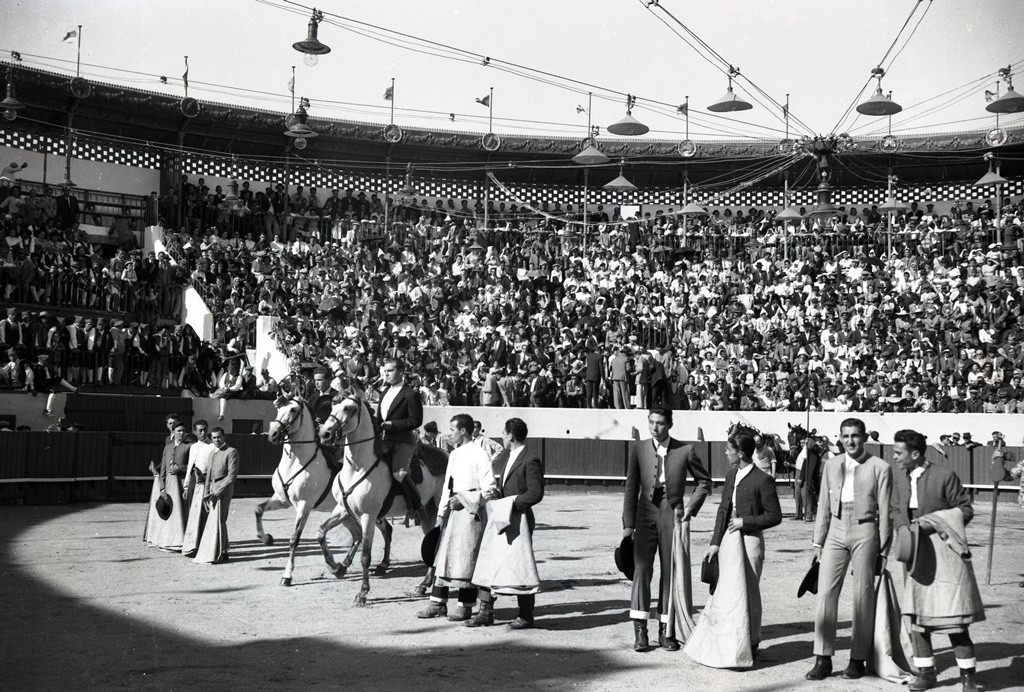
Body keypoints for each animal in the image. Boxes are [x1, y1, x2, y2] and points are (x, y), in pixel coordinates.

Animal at [256, 397, 335, 585]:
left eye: (293, 410)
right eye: (278, 408)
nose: (273, 434)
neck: (295, 462)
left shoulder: (304, 505)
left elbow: (294, 538)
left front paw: (287, 575)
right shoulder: (281, 499)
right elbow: (259, 509)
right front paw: (266, 538)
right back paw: (337, 566)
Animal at [317, 395, 446, 606]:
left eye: (348, 408)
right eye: (333, 406)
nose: (325, 434)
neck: (357, 467)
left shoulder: (368, 516)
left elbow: (365, 556)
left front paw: (362, 593)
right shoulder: (342, 509)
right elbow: (321, 532)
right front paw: (335, 566)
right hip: (428, 513)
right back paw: (423, 585)